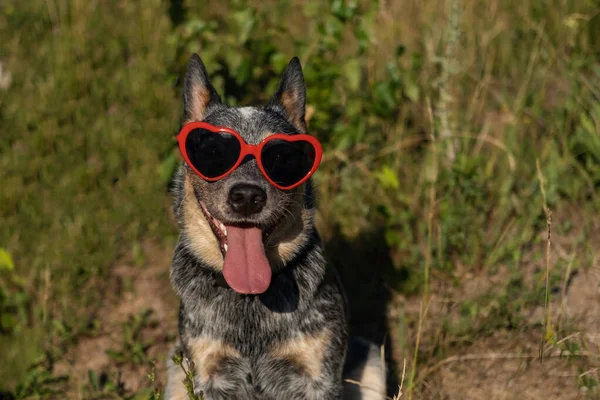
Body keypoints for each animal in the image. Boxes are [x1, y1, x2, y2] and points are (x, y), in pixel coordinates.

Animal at [164, 54, 384, 400]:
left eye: (281, 157)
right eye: (212, 152)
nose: (247, 196)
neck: (249, 300)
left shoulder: (319, 377)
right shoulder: (209, 375)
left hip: (373, 361)